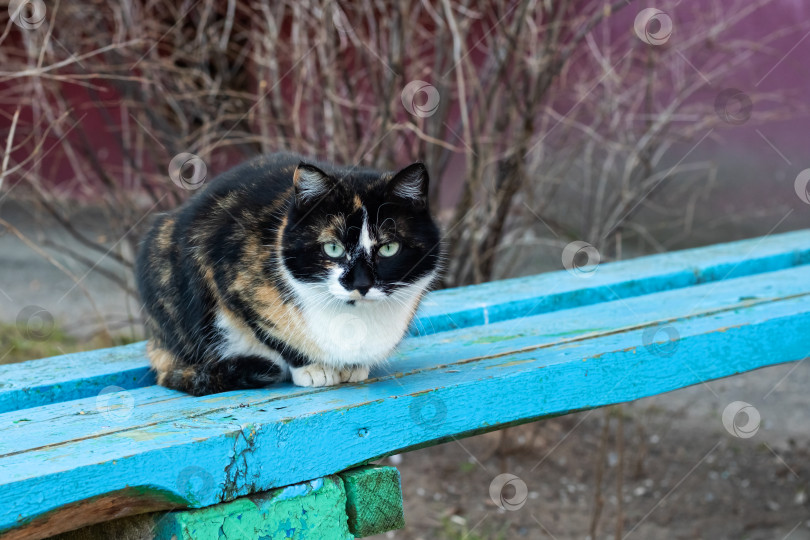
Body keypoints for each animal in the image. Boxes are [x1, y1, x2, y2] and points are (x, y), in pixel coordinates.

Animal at [139, 152, 442, 396]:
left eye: (389, 248)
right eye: (333, 248)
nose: (361, 283)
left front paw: (354, 367)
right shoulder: (230, 281)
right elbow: (275, 336)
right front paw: (312, 368)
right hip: (160, 246)